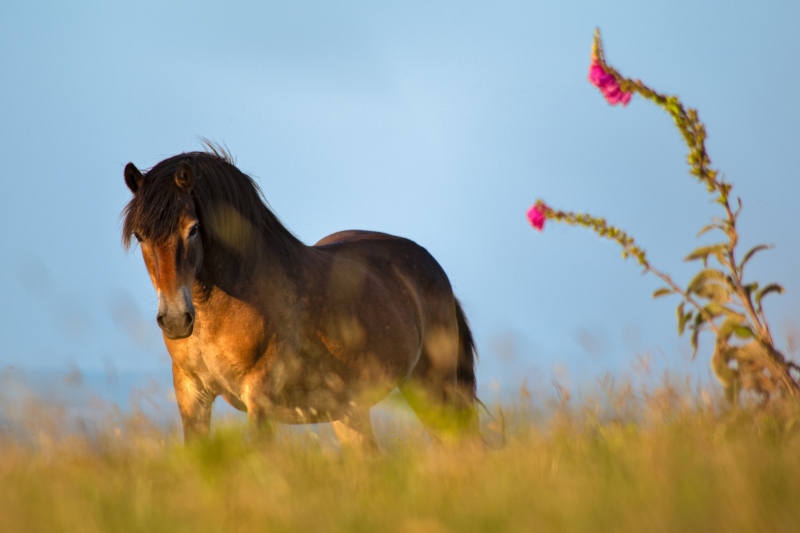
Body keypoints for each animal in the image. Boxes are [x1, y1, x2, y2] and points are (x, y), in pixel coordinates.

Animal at [121, 146, 478, 448]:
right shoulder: (191, 393)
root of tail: (431, 267)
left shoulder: (260, 398)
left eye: (193, 228)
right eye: (140, 235)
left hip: (435, 390)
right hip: (351, 412)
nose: (175, 320)